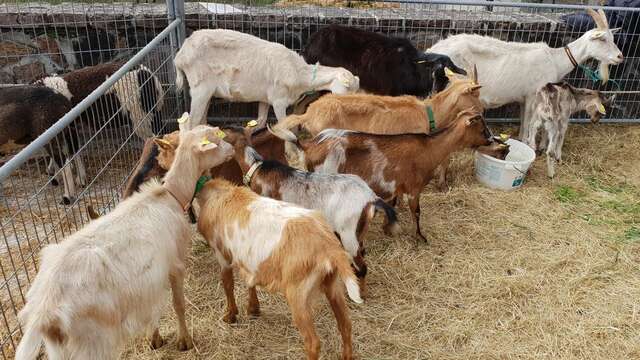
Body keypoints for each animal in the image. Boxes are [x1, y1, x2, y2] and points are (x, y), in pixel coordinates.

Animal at [15, 120, 234, 360]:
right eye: (214, 141)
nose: (232, 149)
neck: (170, 195)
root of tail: (43, 312)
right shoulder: (175, 264)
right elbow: (178, 304)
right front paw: (184, 340)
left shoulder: (151, 277)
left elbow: (152, 307)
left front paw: (154, 339)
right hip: (92, 339)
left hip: (59, 347)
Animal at [175, 28, 360, 129]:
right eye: (347, 87)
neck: (299, 72)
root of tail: (180, 55)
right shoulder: (278, 100)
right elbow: (285, 125)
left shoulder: (265, 98)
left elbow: (261, 122)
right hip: (200, 88)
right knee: (191, 123)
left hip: (207, 91)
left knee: (201, 120)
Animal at [198, 179, 362, 360]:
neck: (223, 195)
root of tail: (329, 248)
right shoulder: (250, 262)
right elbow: (250, 282)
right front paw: (253, 309)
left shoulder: (222, 255)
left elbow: (228, 284)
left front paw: (230, 315)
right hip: (333, 285)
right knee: (346, 324)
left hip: (298, 294)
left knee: (313, 342)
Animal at [272, 109, 492, 242]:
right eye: (482, 129)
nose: (493, 140)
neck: (429, 148)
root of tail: (309, 145)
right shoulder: (414, 188)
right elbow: (417, 212)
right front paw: (420, 237)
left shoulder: (396, 186)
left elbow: (393, 204)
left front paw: (388, 229)